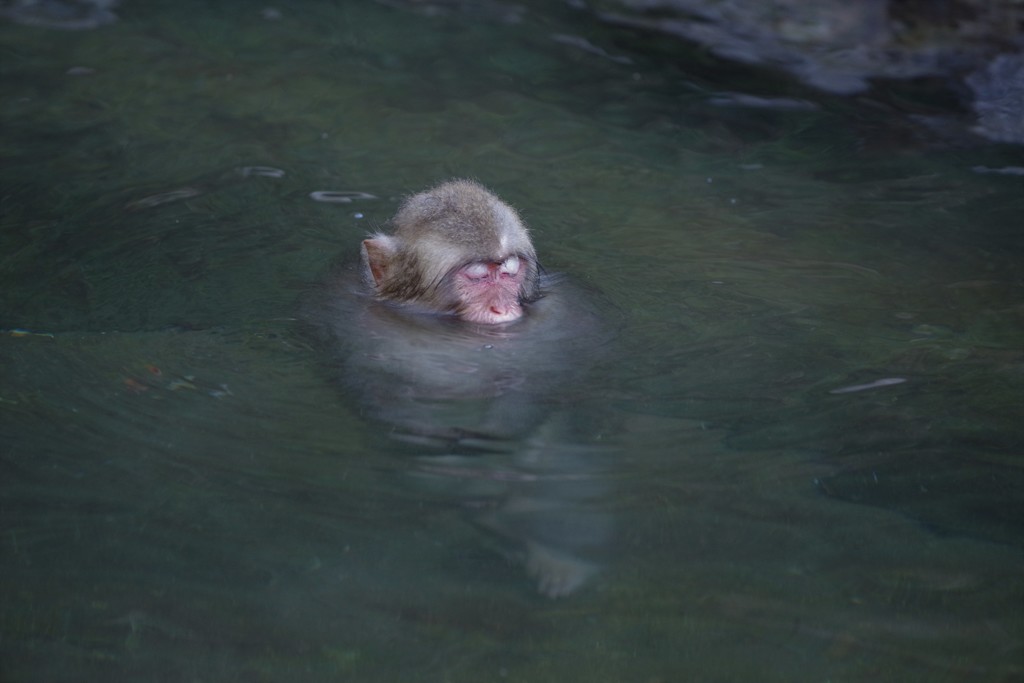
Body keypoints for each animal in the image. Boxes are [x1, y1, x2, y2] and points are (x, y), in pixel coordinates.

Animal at [299, 179, 610, 593]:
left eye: (509, 272)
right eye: (477, 276)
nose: (501, 309)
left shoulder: (567, 317)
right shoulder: (342, 317)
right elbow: (373, 392)